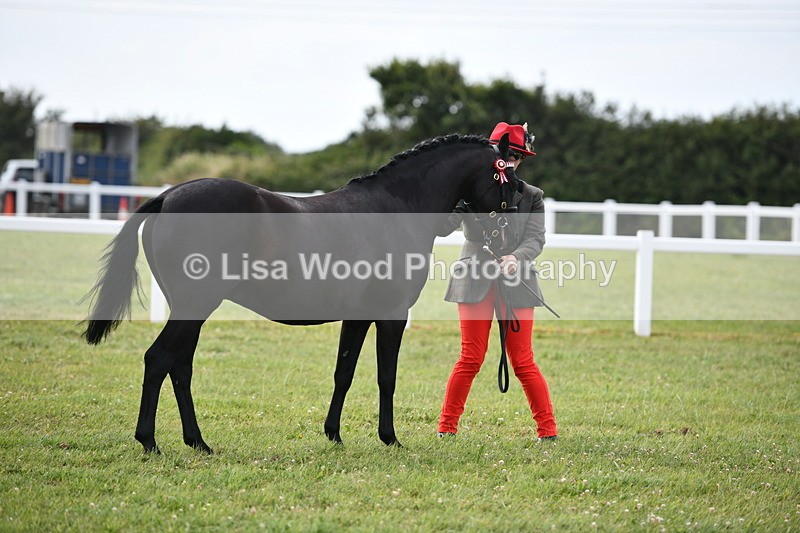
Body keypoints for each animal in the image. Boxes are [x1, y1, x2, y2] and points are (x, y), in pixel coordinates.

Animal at [83, 133, 517, 454]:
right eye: (508, 177)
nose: (509, 226)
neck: (397, 209)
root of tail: (167, 197)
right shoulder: (392, 313)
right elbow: (386, 377)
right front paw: (390, 438)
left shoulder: (358, 316)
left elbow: (344, 372)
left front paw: (334, 434)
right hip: (194, 305)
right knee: (158, 360)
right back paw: (150, 442)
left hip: (189, 309)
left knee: (180, 367)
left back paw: (198, 442)